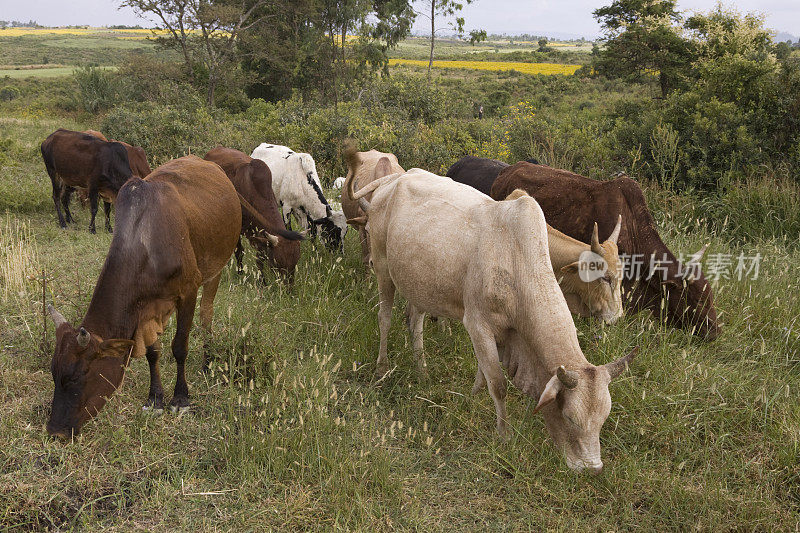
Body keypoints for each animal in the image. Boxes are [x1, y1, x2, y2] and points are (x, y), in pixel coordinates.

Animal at [42, 154, 258, 436]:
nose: (55, 431)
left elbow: (179, 347)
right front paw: (155, 399)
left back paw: (208, 361)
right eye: (54, 373)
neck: (146, 243)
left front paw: (180, 399)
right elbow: (152, 352)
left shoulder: (188, 291)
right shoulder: (146, 310)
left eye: (78, 376)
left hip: (216, 269)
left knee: (206, 314)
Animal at [205, 145, 304, 286]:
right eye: (278, 263)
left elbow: (260, 258)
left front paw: (262, 281)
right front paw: (242, 273)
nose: (288, 288)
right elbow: (240, 252)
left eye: (295, 263)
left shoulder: (259, 236)